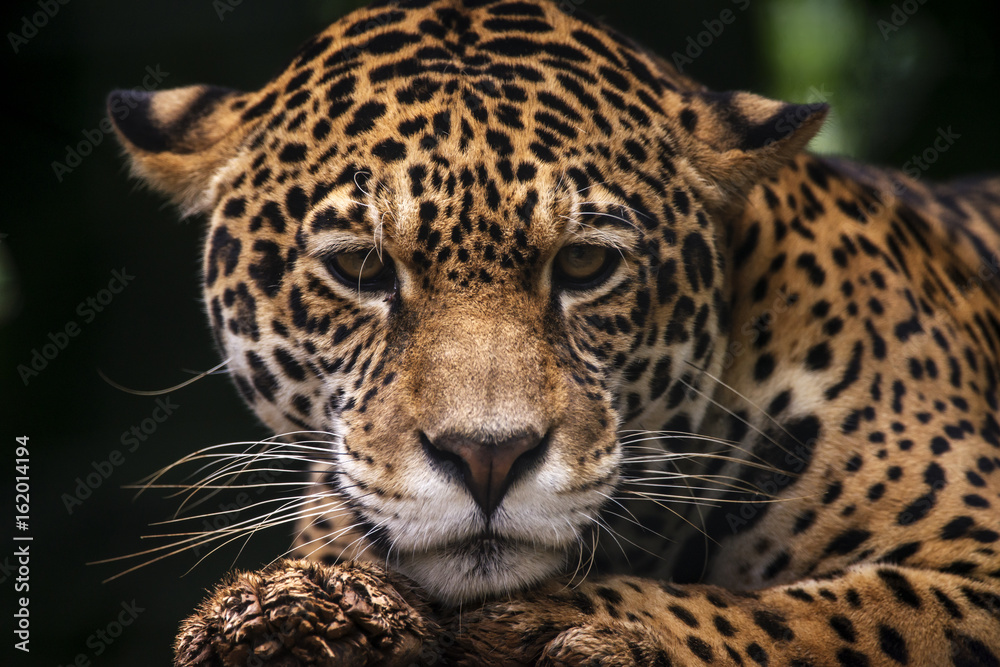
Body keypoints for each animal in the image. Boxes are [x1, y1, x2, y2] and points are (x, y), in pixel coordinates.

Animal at [108, 0, 1000, 664]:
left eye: (583, 264)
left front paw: (556, 627)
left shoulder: (974, 563)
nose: (487, 458)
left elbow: (809, 618)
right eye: (362, 266)